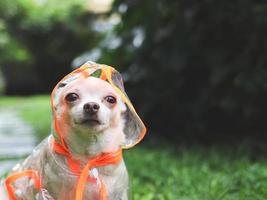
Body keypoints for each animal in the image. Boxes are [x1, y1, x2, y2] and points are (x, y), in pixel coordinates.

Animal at [0, 61, 147, 199]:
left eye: (111, 99)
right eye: (72, 96)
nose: (91, 105)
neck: (88, 160)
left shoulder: (118, 193)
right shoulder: (52, 193)